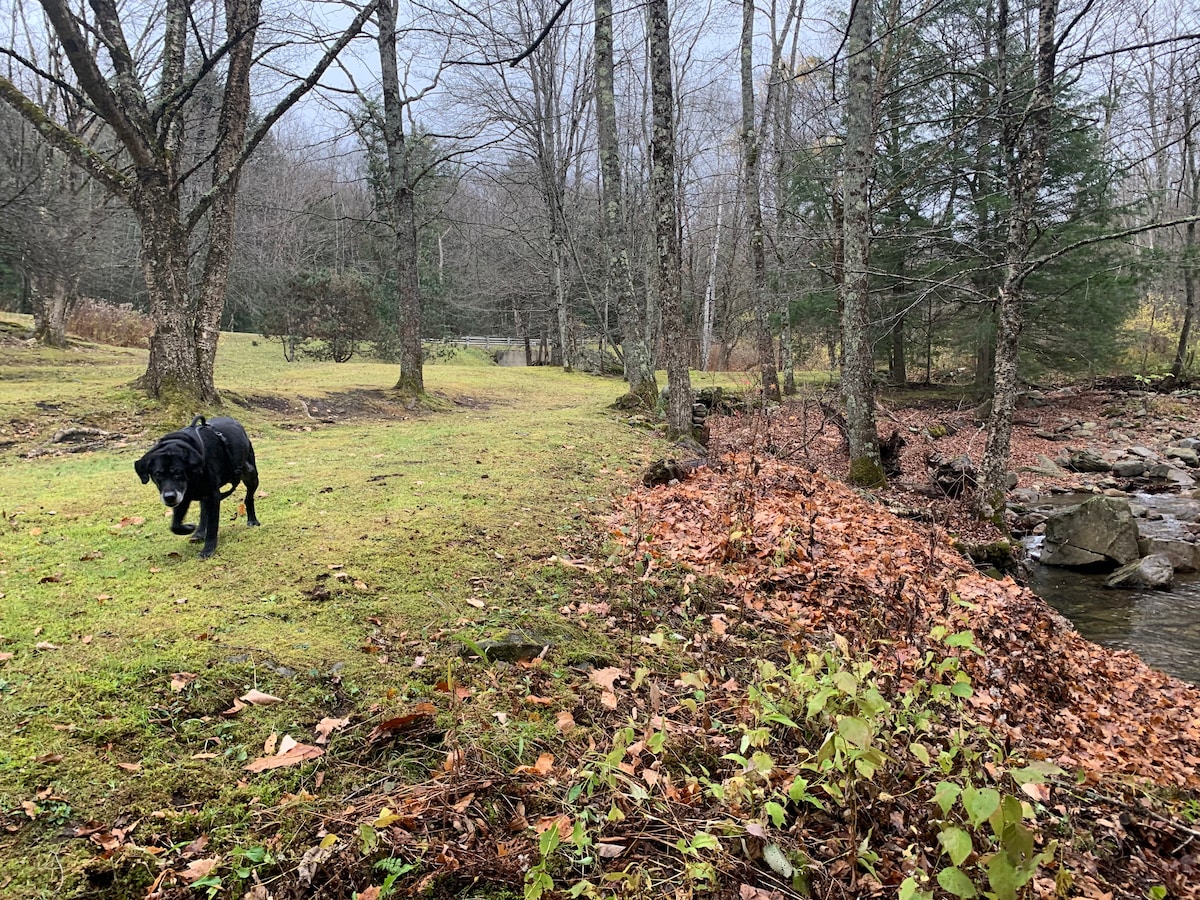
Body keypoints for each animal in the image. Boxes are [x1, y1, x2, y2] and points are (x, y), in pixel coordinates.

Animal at [133, 420, 260, 561]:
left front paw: (208, 549)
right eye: (157, 474)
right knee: (204, 511)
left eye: (178, 472)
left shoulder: (213, 495)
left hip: (251, 474)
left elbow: (212, 525)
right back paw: (199, 532)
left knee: (248, 497)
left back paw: (252, 520)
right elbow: (175, 525)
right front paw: (189, 528)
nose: (169, 497)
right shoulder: (184, 494)